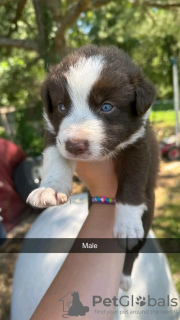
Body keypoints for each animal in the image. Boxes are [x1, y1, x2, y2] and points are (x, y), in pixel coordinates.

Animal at [26, 45, 159, 292]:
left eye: (107, 107)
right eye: (61, 106)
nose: (75, 145)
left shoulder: (139, 145)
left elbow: (132, 183)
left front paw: (126, 224)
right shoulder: (54, 134)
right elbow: (55, 158)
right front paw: (50, 189)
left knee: (133, 253)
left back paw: (124, 277)